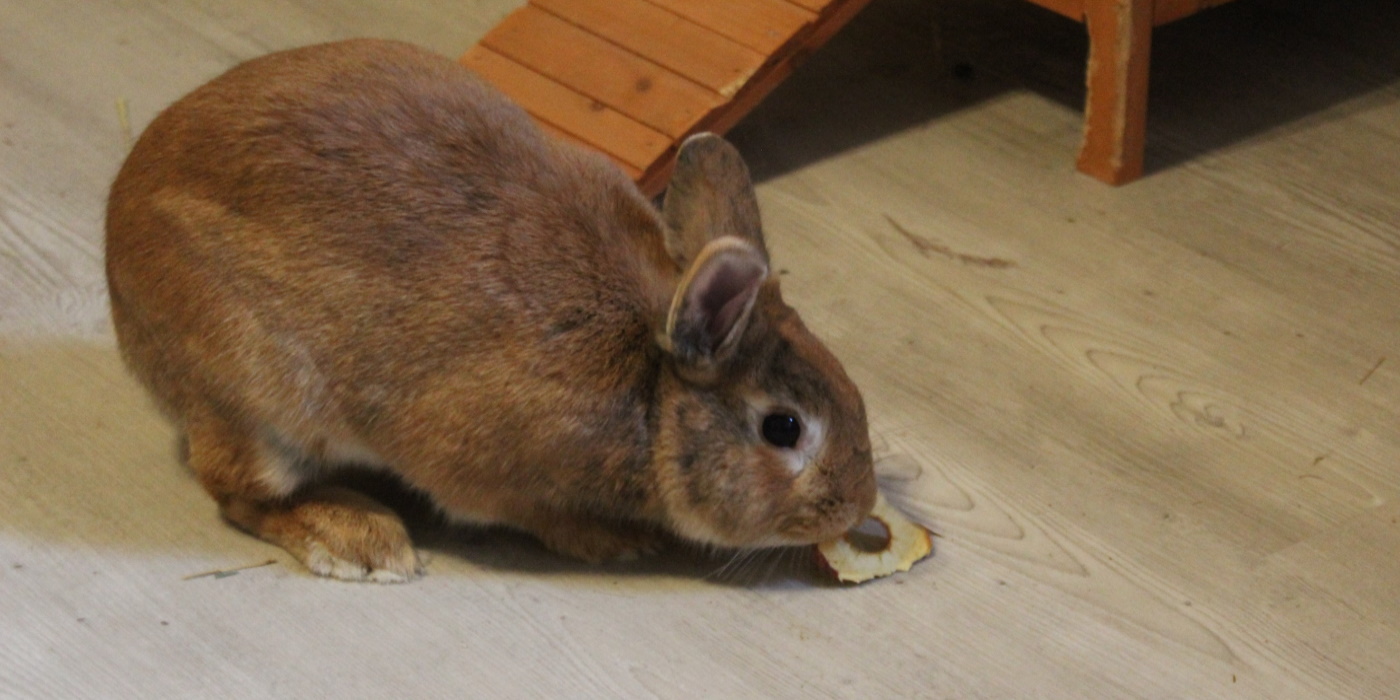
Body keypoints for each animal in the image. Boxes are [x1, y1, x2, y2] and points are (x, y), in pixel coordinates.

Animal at [105, 39, 877, 582]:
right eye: (783, 428)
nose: (859, 505)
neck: (653, 394)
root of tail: (117, 249)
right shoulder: (485, 467)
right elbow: (526, 512)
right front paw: (615, 540)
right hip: (256, 393)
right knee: (238, 493)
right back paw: (361, 540)